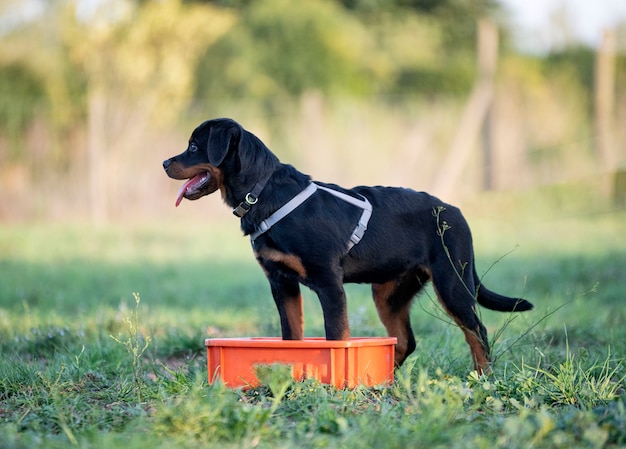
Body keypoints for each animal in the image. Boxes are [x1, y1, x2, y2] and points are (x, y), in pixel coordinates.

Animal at [162, 117, 532, 372]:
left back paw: (481, 377)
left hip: (453, 282)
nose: (165, 162)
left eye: (194, 147)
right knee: (405, 341)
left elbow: (336, 336)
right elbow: (292, 334)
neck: (263, 192)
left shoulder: (328, 283)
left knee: (477, 331)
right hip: (389, 293)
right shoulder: (281, 283)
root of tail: (454, 210)